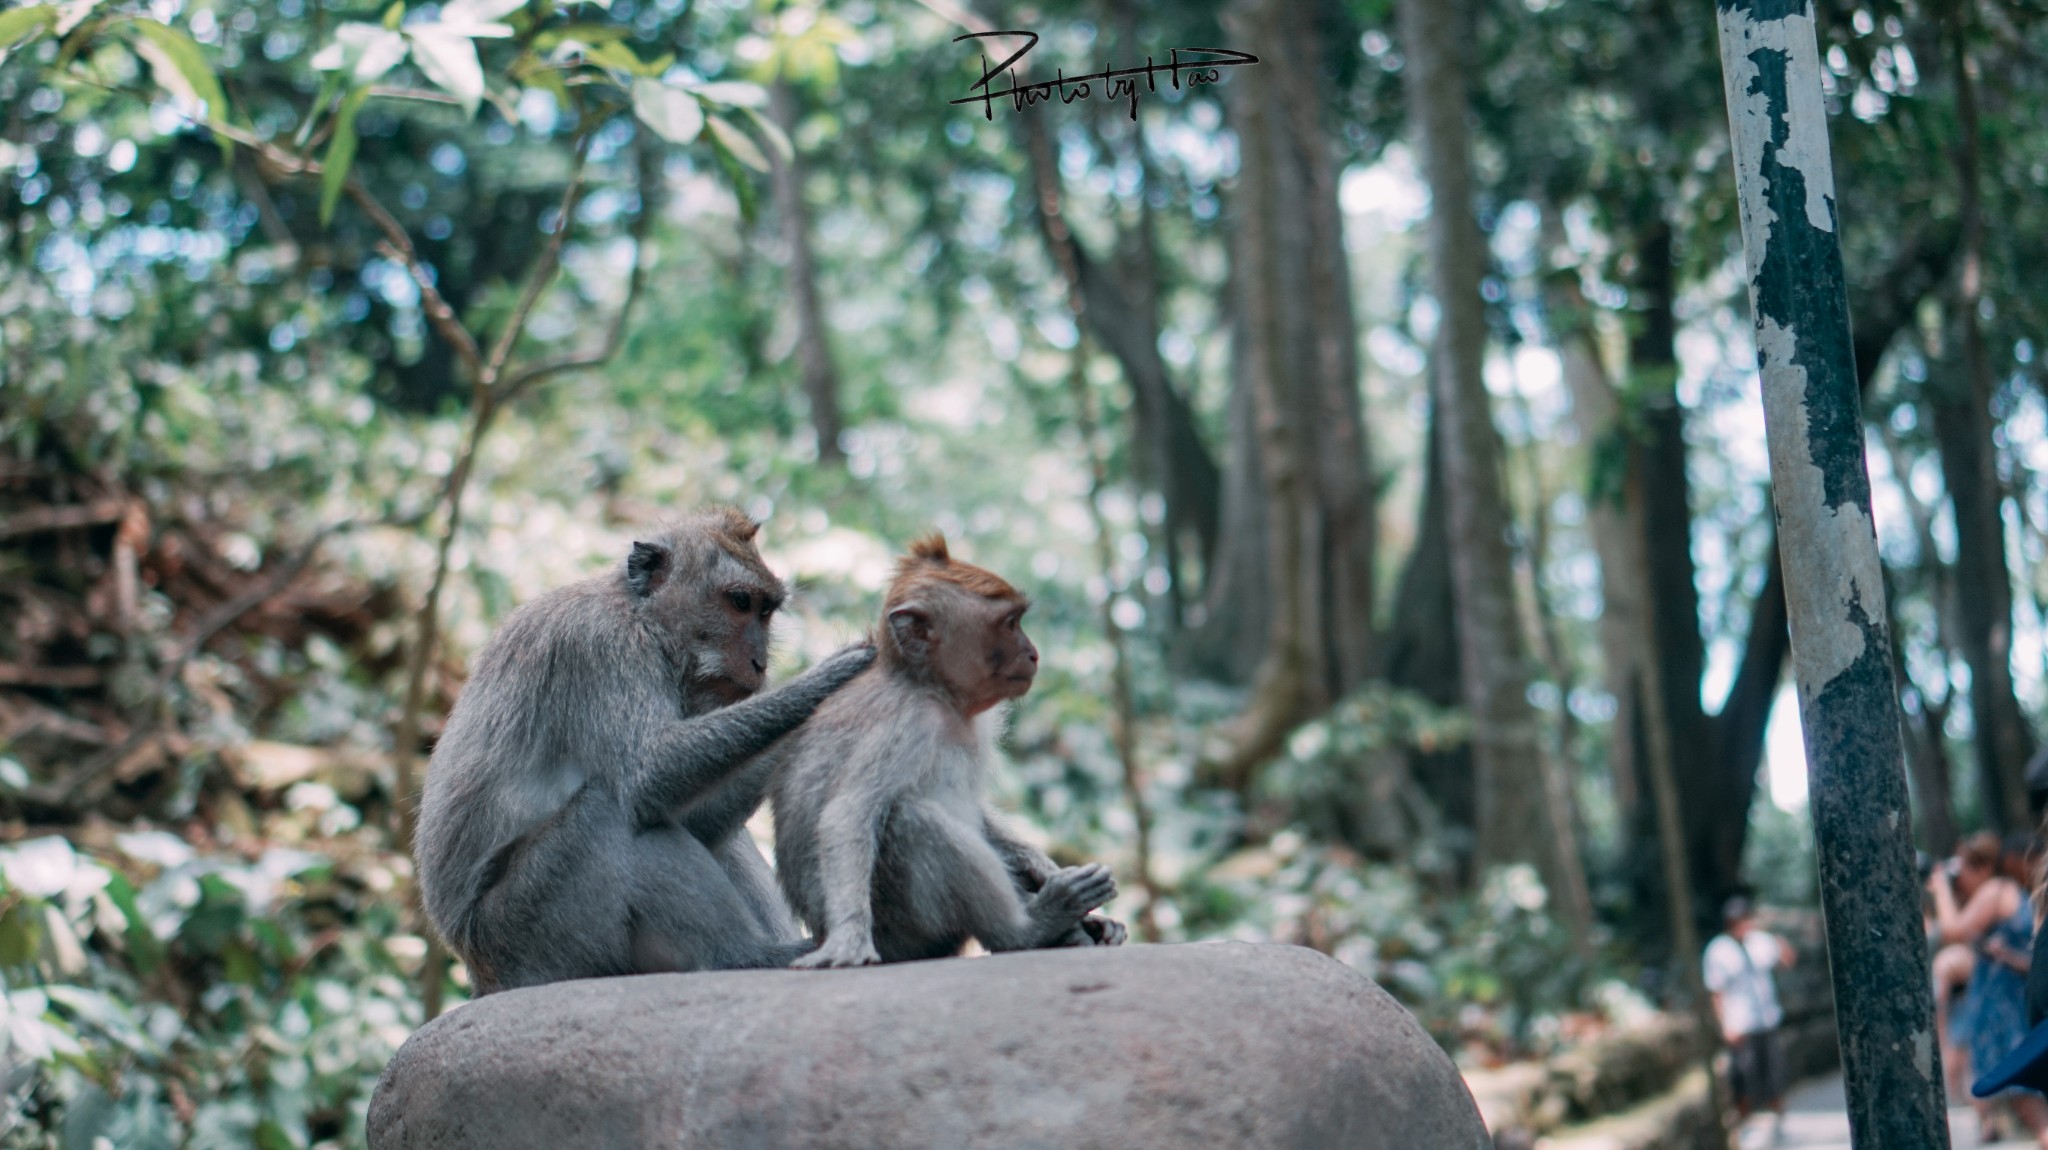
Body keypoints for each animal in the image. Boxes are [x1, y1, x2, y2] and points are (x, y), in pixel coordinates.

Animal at [411, 505, 868, 990]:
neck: (642, 616)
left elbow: (687, 815)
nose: (760, 663)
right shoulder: (600, 647)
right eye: (740, 602)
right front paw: (836, 674)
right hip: (529, 935)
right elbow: (650, 774)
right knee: (609, 814)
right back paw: (749, 957)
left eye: (766, 611)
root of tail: (480, 972)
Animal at [770, 532, 1130, 961]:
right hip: (902, 929)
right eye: (1010, 623)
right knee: (912, 820)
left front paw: (1045, 868)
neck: (936, 691)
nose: (1033, 653)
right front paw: (849, 940)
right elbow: (848, 814)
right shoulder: (906, 725)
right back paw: (1028, 929)